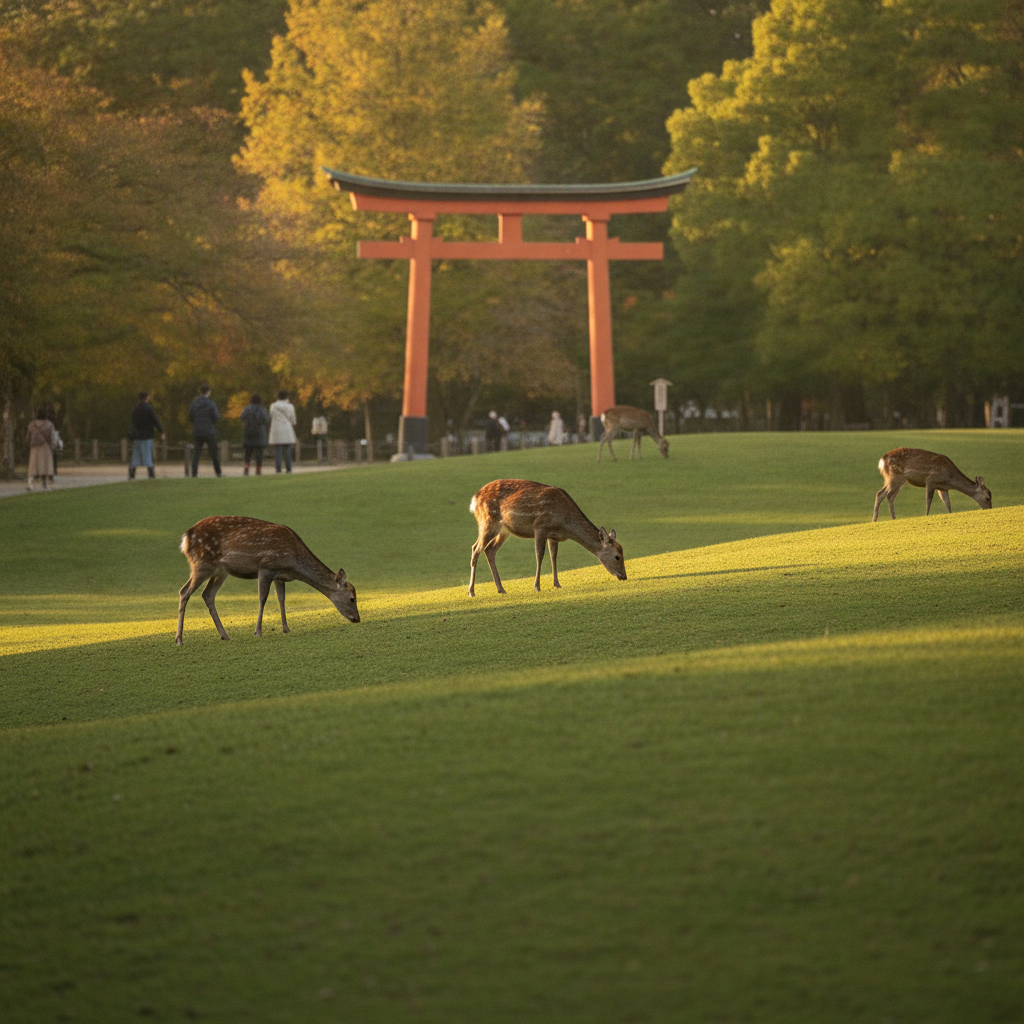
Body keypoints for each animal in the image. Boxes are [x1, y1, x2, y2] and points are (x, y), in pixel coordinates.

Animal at [175, 516, 359, 645]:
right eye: (352, 598)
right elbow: (262, 598)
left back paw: (225, 635)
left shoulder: (280, 576)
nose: (357, 619)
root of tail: (186, 537)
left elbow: (281, 599)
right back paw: (179, 639)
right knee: (184, 591)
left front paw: (286, 628)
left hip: (220, 571)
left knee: (207, 594)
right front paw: (258, 632)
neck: (293, 562)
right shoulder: (266, 567)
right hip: (202, 563)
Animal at [468, 478, 626, 596]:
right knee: (475, 548)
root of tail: (474, 499)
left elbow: (553, 556)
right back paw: (471, 591)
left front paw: (557, 584)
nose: (624, 576)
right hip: (487, 522)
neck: (564, 524)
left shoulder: (553, 536)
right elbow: (540, 555)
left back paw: (501, 589)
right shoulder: (540, 527)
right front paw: (537, 586)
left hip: (504, 530)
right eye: (617, 557)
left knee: (489, 549)